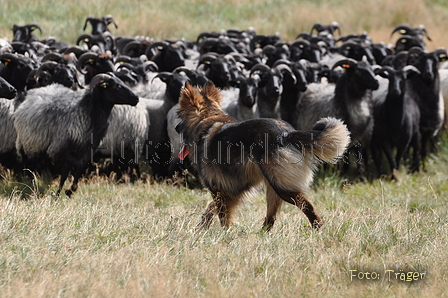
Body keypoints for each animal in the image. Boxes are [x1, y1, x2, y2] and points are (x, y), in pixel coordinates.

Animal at [177, 81, 352, 233]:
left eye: (179, 116)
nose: (175, 127)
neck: (207, 118)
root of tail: (286, 134)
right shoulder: (229, 190)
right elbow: (210, 209)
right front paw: (200, 229)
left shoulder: (218, 189)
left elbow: (221, 214)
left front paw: (224, 233)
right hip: (273, 187)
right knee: (271, 217)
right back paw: (261, 234)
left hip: (282, 187)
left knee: (307, 206)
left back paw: (317, 229)